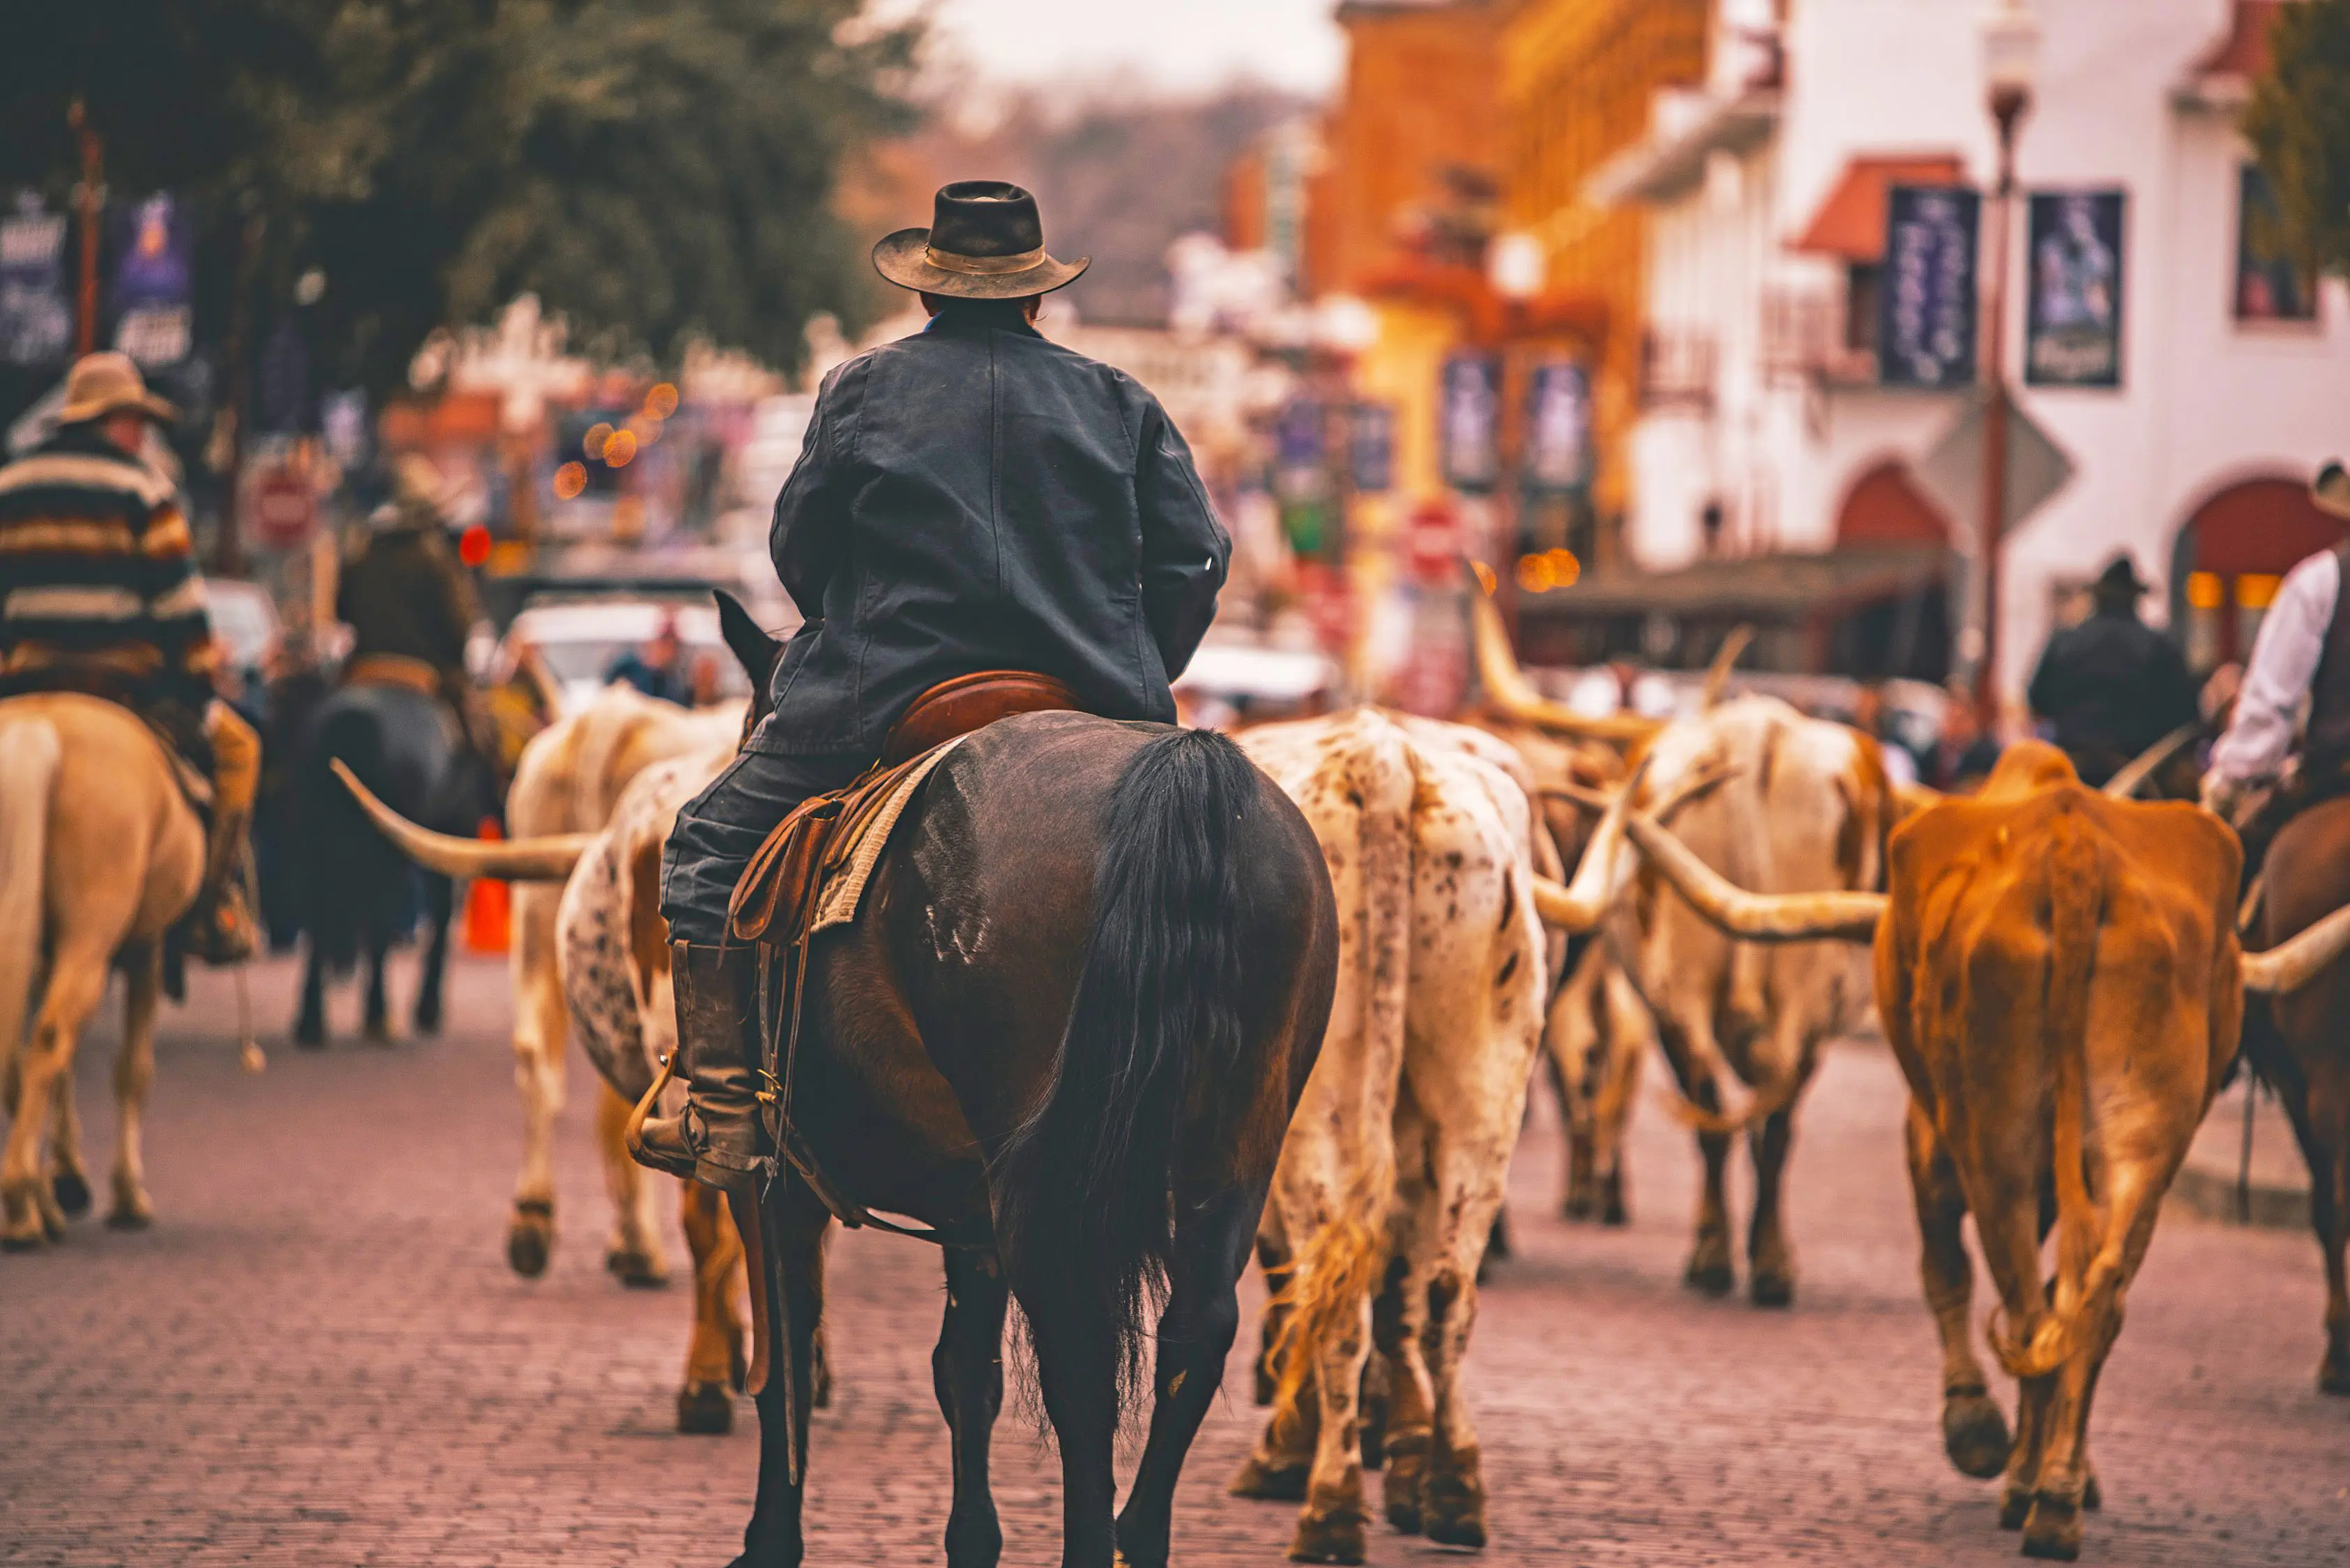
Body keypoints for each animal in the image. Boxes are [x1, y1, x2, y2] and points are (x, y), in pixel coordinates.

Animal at [1613, 740, 2350, 1560]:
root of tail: (2075, 846)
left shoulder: (1928, 1139)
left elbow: (1946, 1269)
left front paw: (1973, 1424)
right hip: (2141, 1148)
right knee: (2091, 1301)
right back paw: (2057, 1494)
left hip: (1990, 1137)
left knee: (2022, 1298)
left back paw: (2026, 1480)